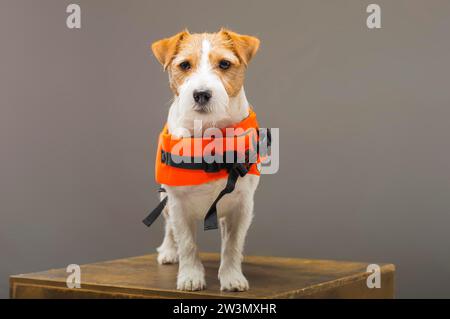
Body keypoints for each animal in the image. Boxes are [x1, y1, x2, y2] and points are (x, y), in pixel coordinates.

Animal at [151, 28, 260, 292]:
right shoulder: (177, 204)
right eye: (184, 65)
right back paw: (169, 251)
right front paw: (191, 276)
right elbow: (187, 243)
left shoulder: (242, 205)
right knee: (169, 228)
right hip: (164, 201)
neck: (209, 134)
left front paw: (232, 276)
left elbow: (232, 244)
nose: (201, 94)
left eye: (224, 64)